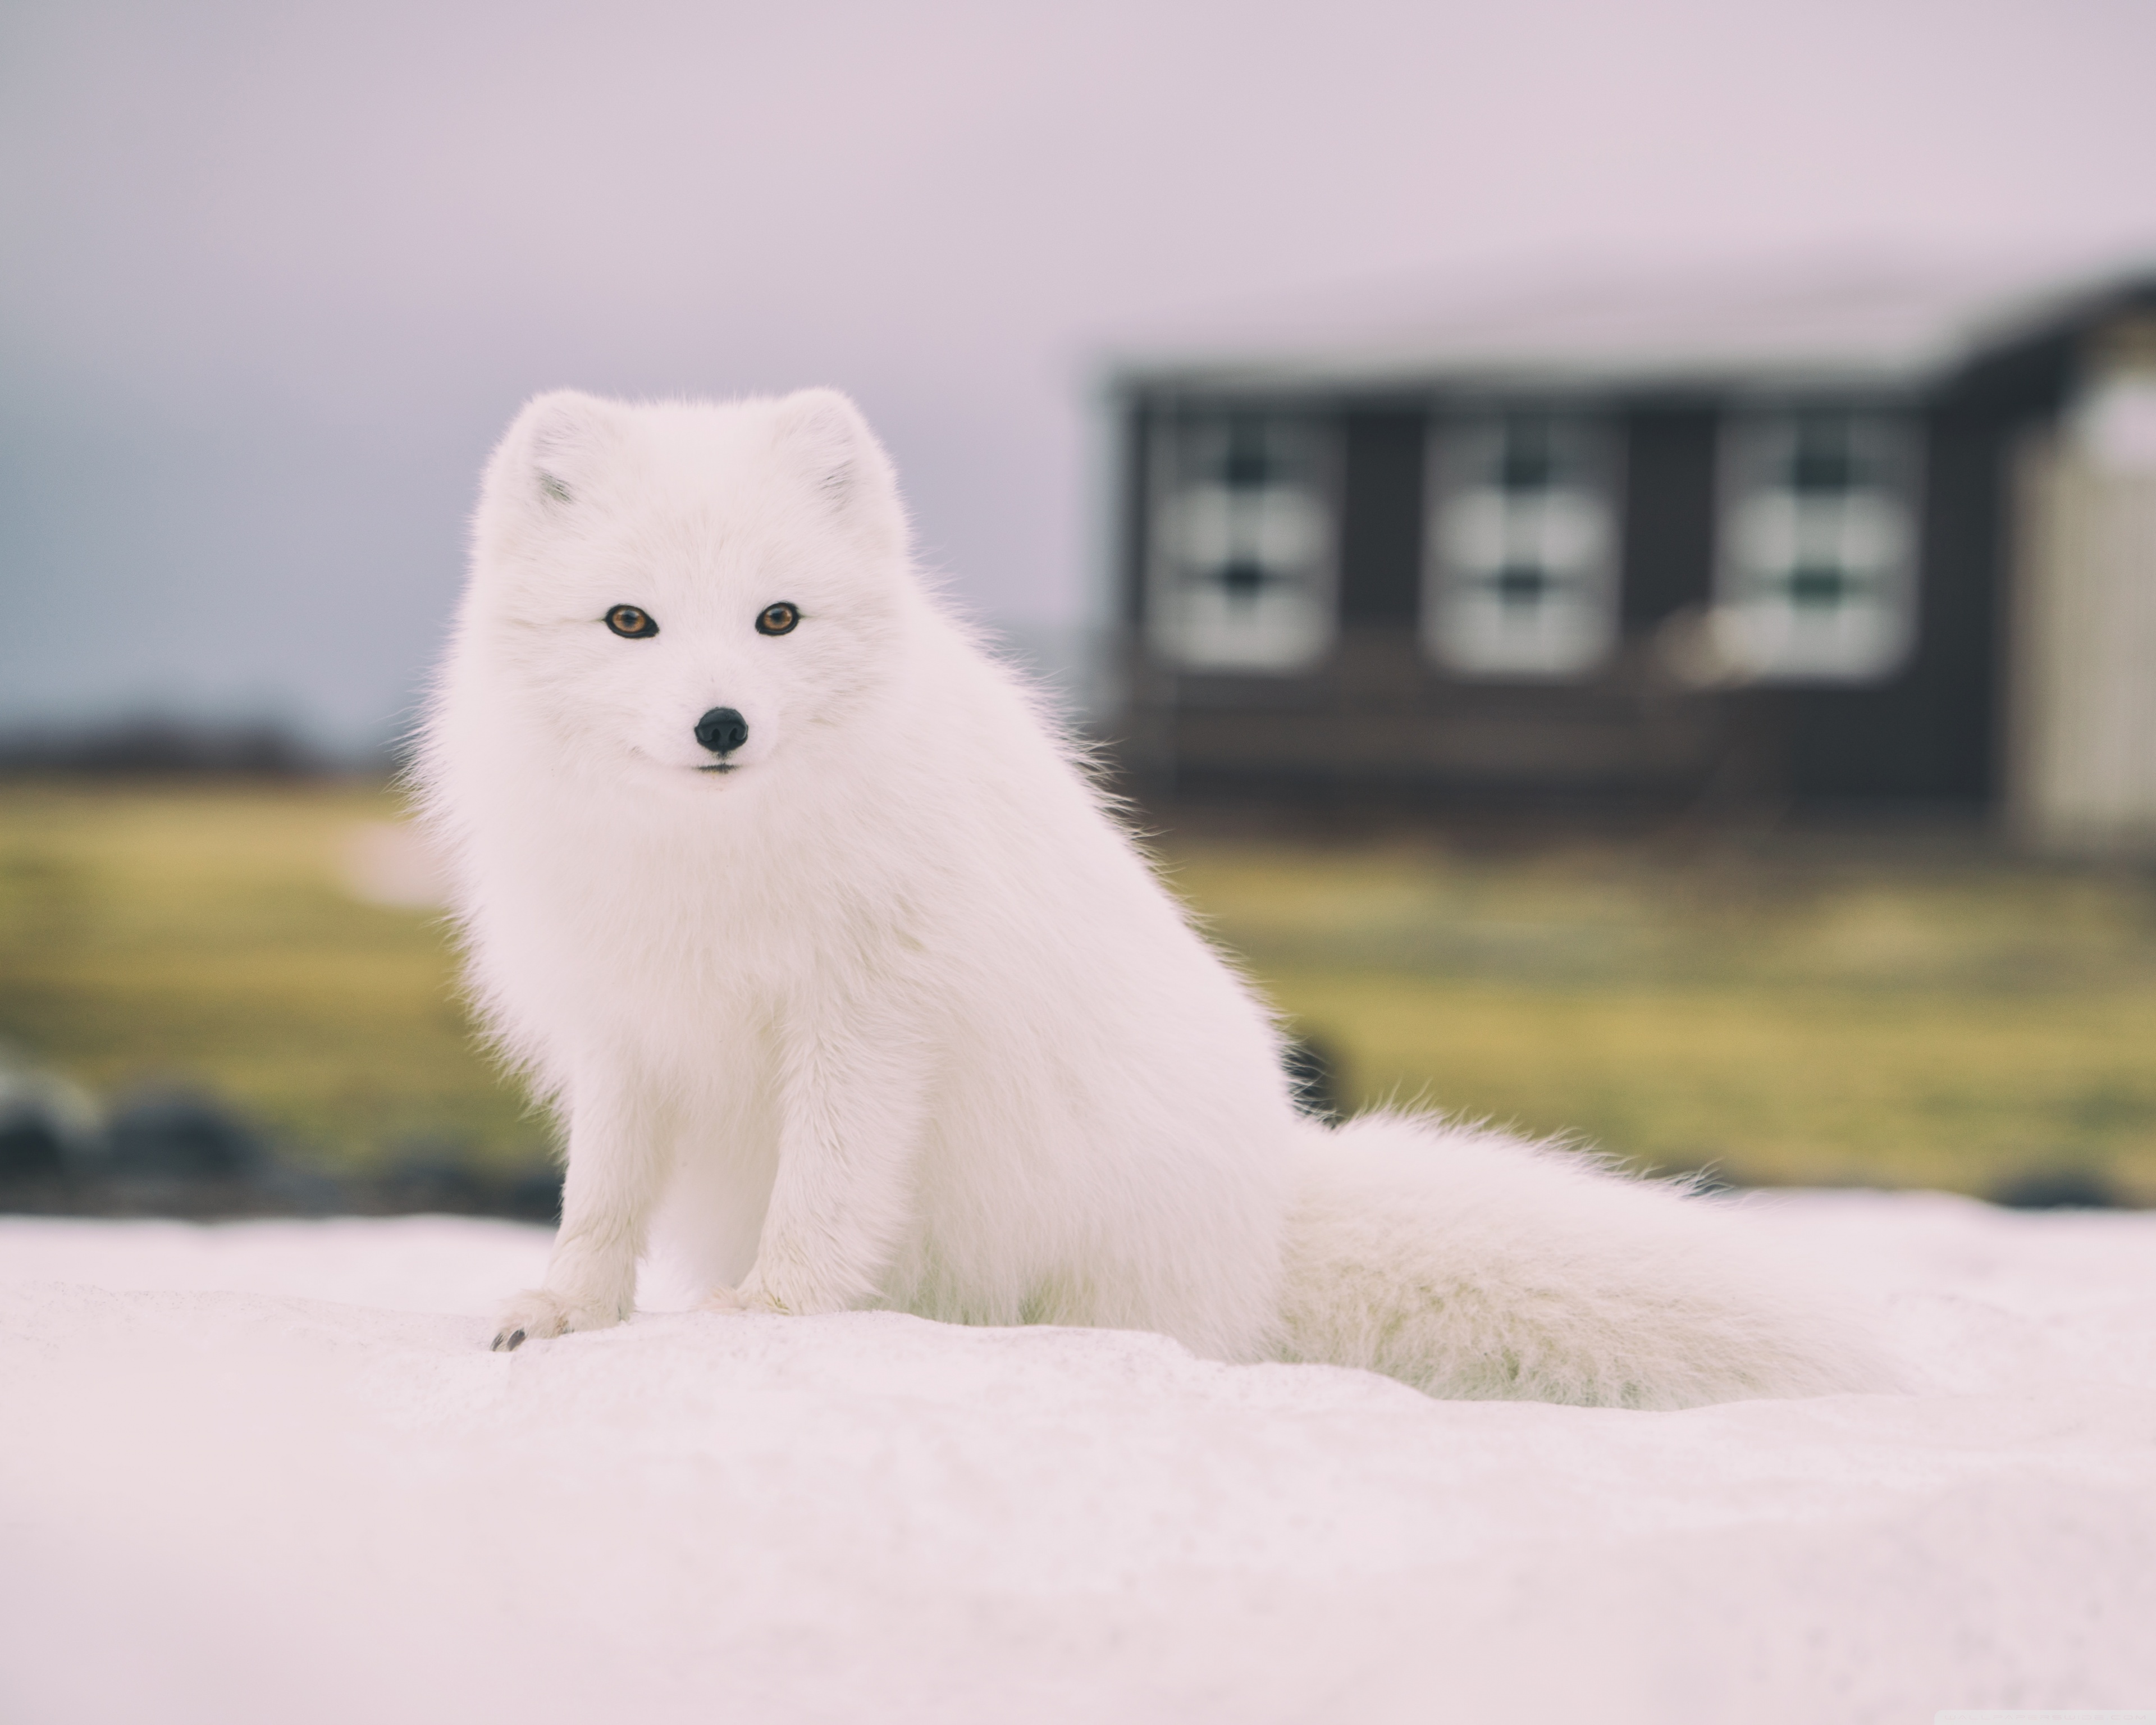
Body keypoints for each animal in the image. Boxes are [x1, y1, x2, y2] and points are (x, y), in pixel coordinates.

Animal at [414, 387, 1881, 1409]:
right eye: (630, 623)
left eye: (778, 620)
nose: (721, 725)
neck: (711, 861)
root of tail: (1271, 1208)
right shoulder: (621, 1030)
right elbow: (598, 1199)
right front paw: (562, 1314)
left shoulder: (865, 1015)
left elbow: (824, 1191)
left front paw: (768, 1316)